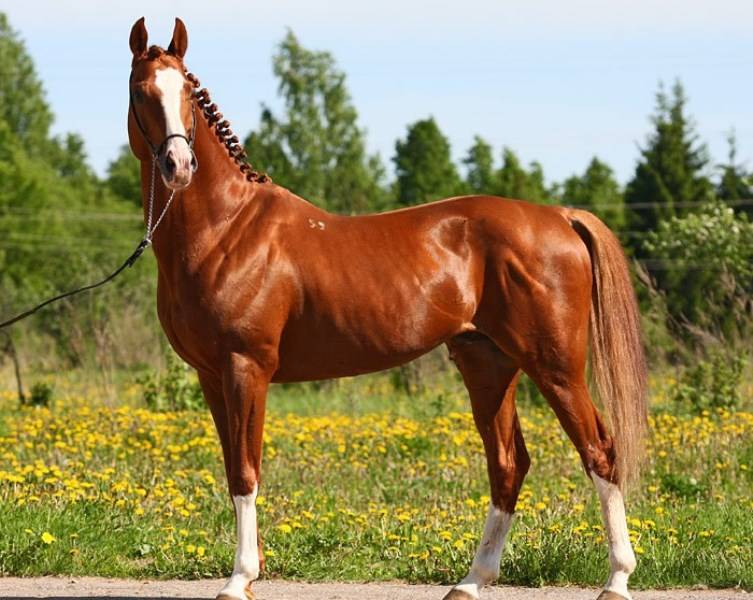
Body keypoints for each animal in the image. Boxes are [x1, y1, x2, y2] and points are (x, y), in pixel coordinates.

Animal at [126, 17, 647, 600]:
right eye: (141, 92)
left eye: (187, 94)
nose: (178, 165)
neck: (226, 229)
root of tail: (559, 216)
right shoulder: (212, 376)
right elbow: (233, 470)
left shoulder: (246, 368)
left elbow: (245, 472)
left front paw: (240, 578)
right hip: (488, 363)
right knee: (509, 464)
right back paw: (471, 581)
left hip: (554, 365)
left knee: (600, 451)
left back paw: (616, 579)